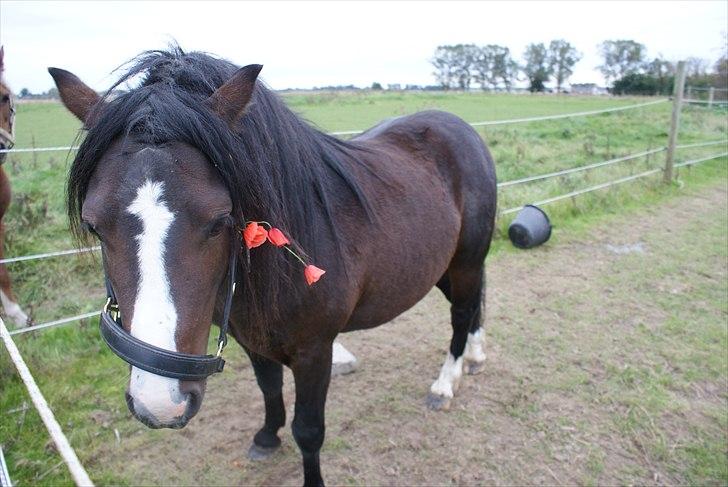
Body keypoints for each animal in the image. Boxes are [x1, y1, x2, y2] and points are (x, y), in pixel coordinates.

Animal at [49, 46, 494, 487]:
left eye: (220, 221)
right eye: (94, 225)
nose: (159, 402)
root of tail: (459, 127)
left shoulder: (315, 352)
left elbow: (309, 430)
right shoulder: (252, 341)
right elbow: (268, 389)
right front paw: (266, 437)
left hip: (466, 261)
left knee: (461, 313)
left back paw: (445, 383)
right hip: (440, 268)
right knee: (472, 306)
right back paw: (474, 357)